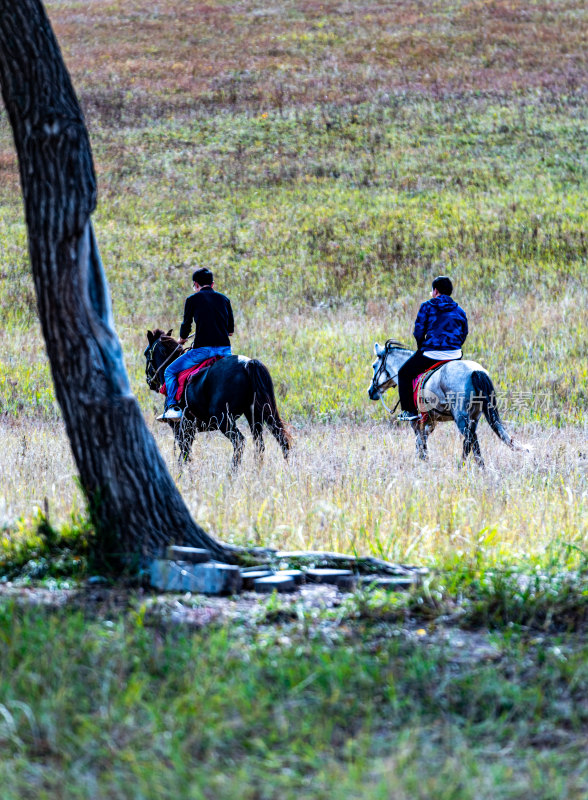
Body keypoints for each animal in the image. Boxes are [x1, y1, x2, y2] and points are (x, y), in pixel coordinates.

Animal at [143, 328, 290, 468]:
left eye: (146, 353)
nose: (149, 382)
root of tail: (248, 364)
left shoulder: (181, 429)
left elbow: (184, 456)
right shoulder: (189, 431)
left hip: (224, 420)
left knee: (240, 442)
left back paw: (232, 473)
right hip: (257, 414)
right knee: (272, 441)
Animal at [368, 340, 528, 466]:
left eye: (374, 366)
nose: (371, 392)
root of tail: (475, 371)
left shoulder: (416, 421)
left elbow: (419, 442)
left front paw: (421, 462)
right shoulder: (430, 421)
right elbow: (423, 441)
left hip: (461, 416)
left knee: (469, 440)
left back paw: (463, 466)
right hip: (474, 416)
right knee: (472, 441)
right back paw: (478, 467)